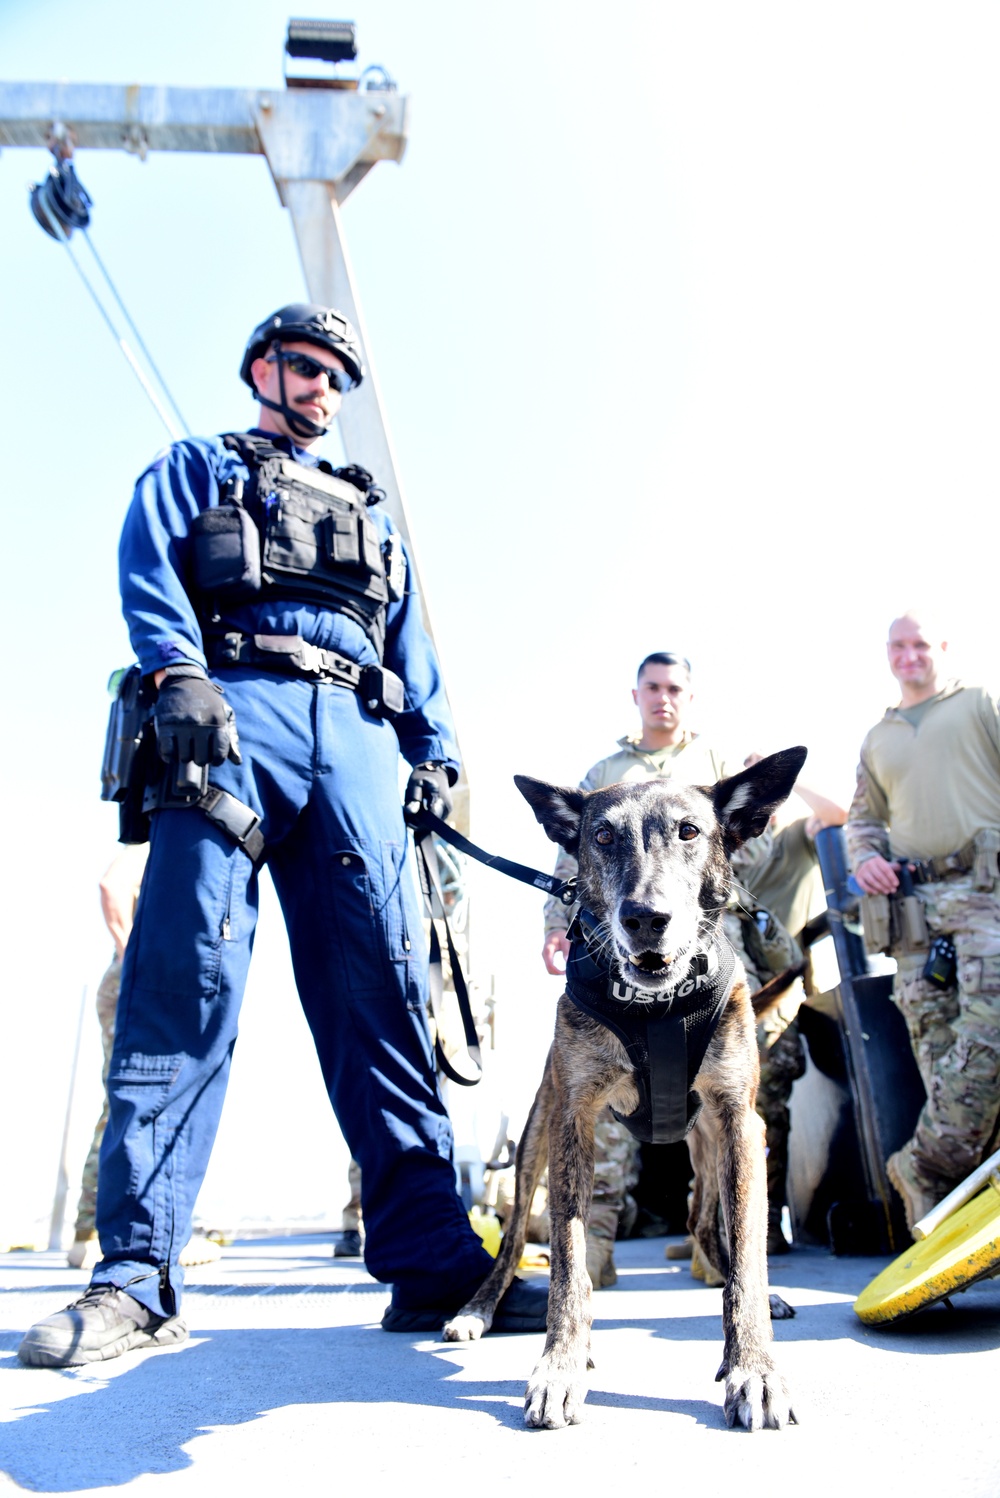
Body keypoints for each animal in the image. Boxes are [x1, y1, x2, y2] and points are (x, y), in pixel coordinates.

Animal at [440, 746, 808, 1426]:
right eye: (604, 837)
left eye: (689, 831)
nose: (646, 918)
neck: (656, 1007)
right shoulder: (573, 1122)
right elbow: (566, 1259)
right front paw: (560, 1365)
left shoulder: (741, 1122)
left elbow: (748, 1252)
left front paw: (754, 1366)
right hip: (533, 1142)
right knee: (516, 1241)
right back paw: (479, 1310)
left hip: (709, 1149)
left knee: (703, 1224)